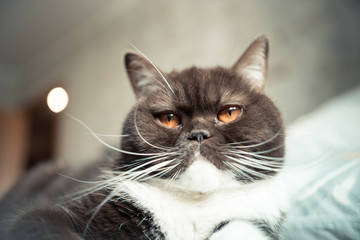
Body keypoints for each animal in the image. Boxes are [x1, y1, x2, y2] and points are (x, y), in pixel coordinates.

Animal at [0, 36, 286, 240]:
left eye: (229, 113)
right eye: (168, 118)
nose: (198, 135)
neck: (194, 208)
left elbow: (239, 228)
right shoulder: (46, 216)